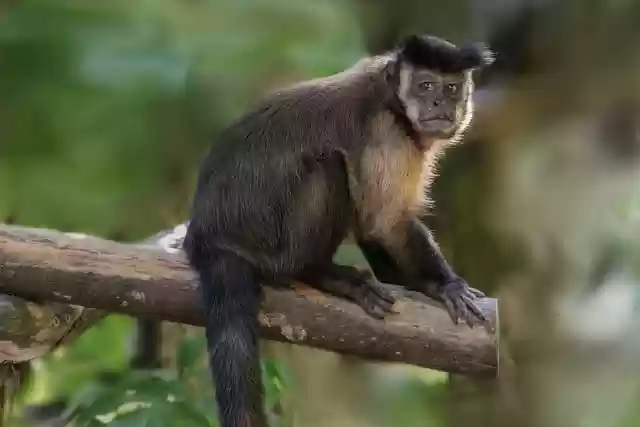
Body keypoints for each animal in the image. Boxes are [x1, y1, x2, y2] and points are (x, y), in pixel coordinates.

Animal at [183, 34, 494, 427]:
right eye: (425, 86)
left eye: (451, 88)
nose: (440, 102)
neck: (392, 99)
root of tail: (208, 236)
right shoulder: (387, 133)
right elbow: (384, 222)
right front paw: (443, 285)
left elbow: (369, 224)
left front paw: (416, 284)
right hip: (268, 242)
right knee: (327, 166)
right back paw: (317, 273)